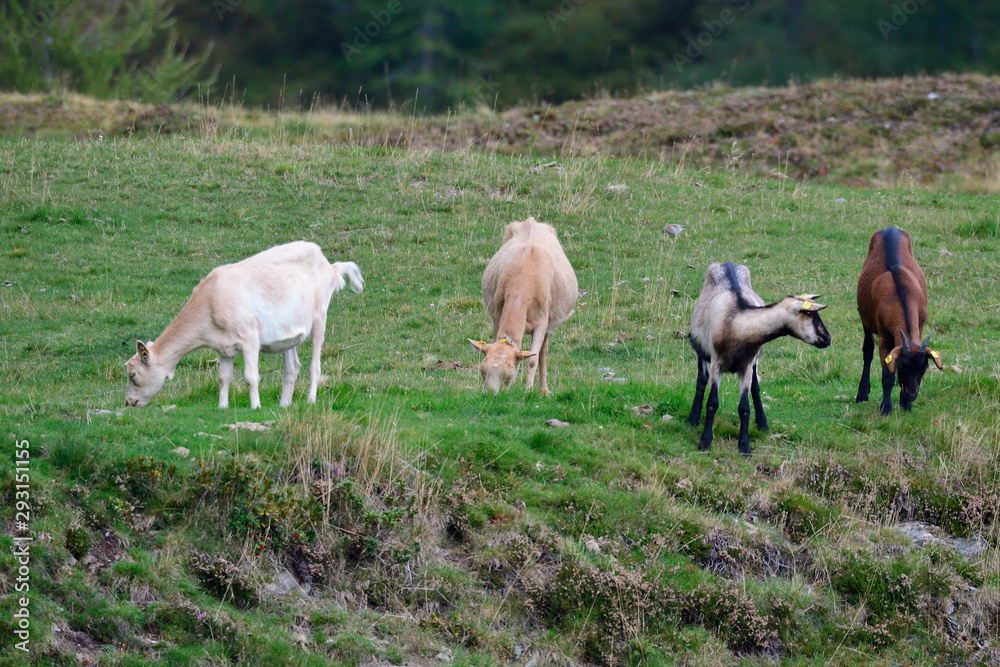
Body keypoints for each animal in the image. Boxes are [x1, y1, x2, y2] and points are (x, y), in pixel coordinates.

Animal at [125, 241, 363, 409]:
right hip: (289, 333)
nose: (129, 402)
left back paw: (310, 400)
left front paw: (255, 406)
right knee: (292, 367)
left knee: (315, 365)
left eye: (133, 375)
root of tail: (331, 266)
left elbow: (250, 376)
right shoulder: (224, 347)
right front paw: (222, 406)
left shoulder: (250, 337)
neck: (211, 304)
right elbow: (223, 377)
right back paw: (284, 405)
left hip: (320, 317)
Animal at [468, 217, 578, 395]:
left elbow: (533, 360)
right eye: (482, 372)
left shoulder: (541, 322)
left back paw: (544, 390)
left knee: (543, 353)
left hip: (549, 323)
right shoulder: (497, 315)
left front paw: (527, 392)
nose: (491, 394)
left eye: (509, 376)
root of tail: (532, 220)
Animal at [687, 262, 831, 455]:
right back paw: (692, 419)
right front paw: (705, 442)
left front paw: (744, 446)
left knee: (755, 386)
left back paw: (762, 423)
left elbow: (744, 408)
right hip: (700, 348)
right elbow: (712, 403)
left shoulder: (746, 366)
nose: (828, 339)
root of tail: (727, 264)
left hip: (754, 361)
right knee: (701, 380)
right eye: (810, 314)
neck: (736, 324)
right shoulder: (717, 364)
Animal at [855, 227, 942, 415]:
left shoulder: (920, 326)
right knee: (868, 350)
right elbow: (887, 375)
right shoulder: (885, 338)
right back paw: (862, 393)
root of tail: (890, 228)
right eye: (901, 367)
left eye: (924, 368)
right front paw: (886, 407)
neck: (901, 294)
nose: (912, 395)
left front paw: (905, 404)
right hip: (865, 319)